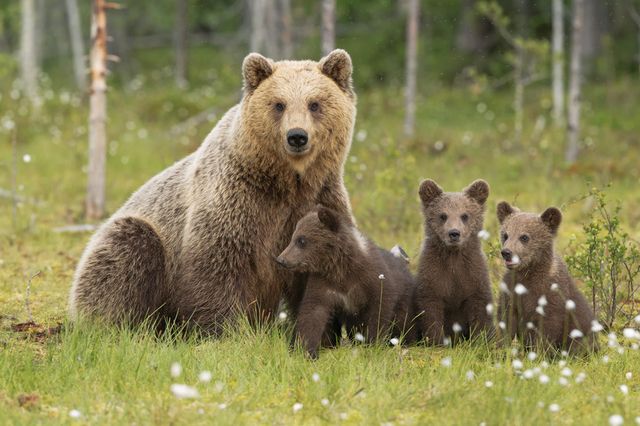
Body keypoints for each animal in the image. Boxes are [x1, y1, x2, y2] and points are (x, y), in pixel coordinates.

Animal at [70, 50, 360, 334]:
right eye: (279, 104)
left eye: (315, 104)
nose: (297, 136)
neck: (288, 182)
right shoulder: (236, 199)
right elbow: (217, 264)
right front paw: (223, 330)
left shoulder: (319, 199)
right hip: (137, 242)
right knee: (126, 253)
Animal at [276, 205, 416, 358]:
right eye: (293, 237)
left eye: (301, 240)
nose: (281, 259)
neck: (340, 267)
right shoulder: (323, 283)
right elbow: (312, 312)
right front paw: (304, 350)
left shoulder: (371, 279)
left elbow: (379, 309)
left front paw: (373, 344)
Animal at [412, 178, 498, 344]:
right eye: (443, 215)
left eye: (464, 215)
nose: (454, 233)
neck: (453, 255)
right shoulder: (434, 276)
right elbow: (431, 310)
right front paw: (436, 341)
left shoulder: (473, 276)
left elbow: (480, 309)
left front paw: (482, 340)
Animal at [498, 203, 596, 352]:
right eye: (505, 235)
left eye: (524, 237)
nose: (506, 252)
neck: (529, 273)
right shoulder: (511, 290)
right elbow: (506, 320)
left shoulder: (551, 296)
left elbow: (547, 329)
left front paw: (539, 352)